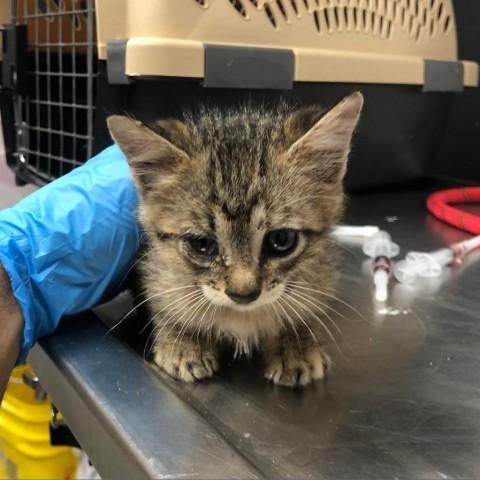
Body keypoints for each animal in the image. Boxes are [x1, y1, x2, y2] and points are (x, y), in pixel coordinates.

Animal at [108, 92, 364, 388]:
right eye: (202, 244)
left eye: (281, 239)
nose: (244, 295)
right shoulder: (156, 268)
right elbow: (166, 298)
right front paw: (182, 342)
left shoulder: (319, 272)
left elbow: (306, 304)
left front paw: (296, 344)